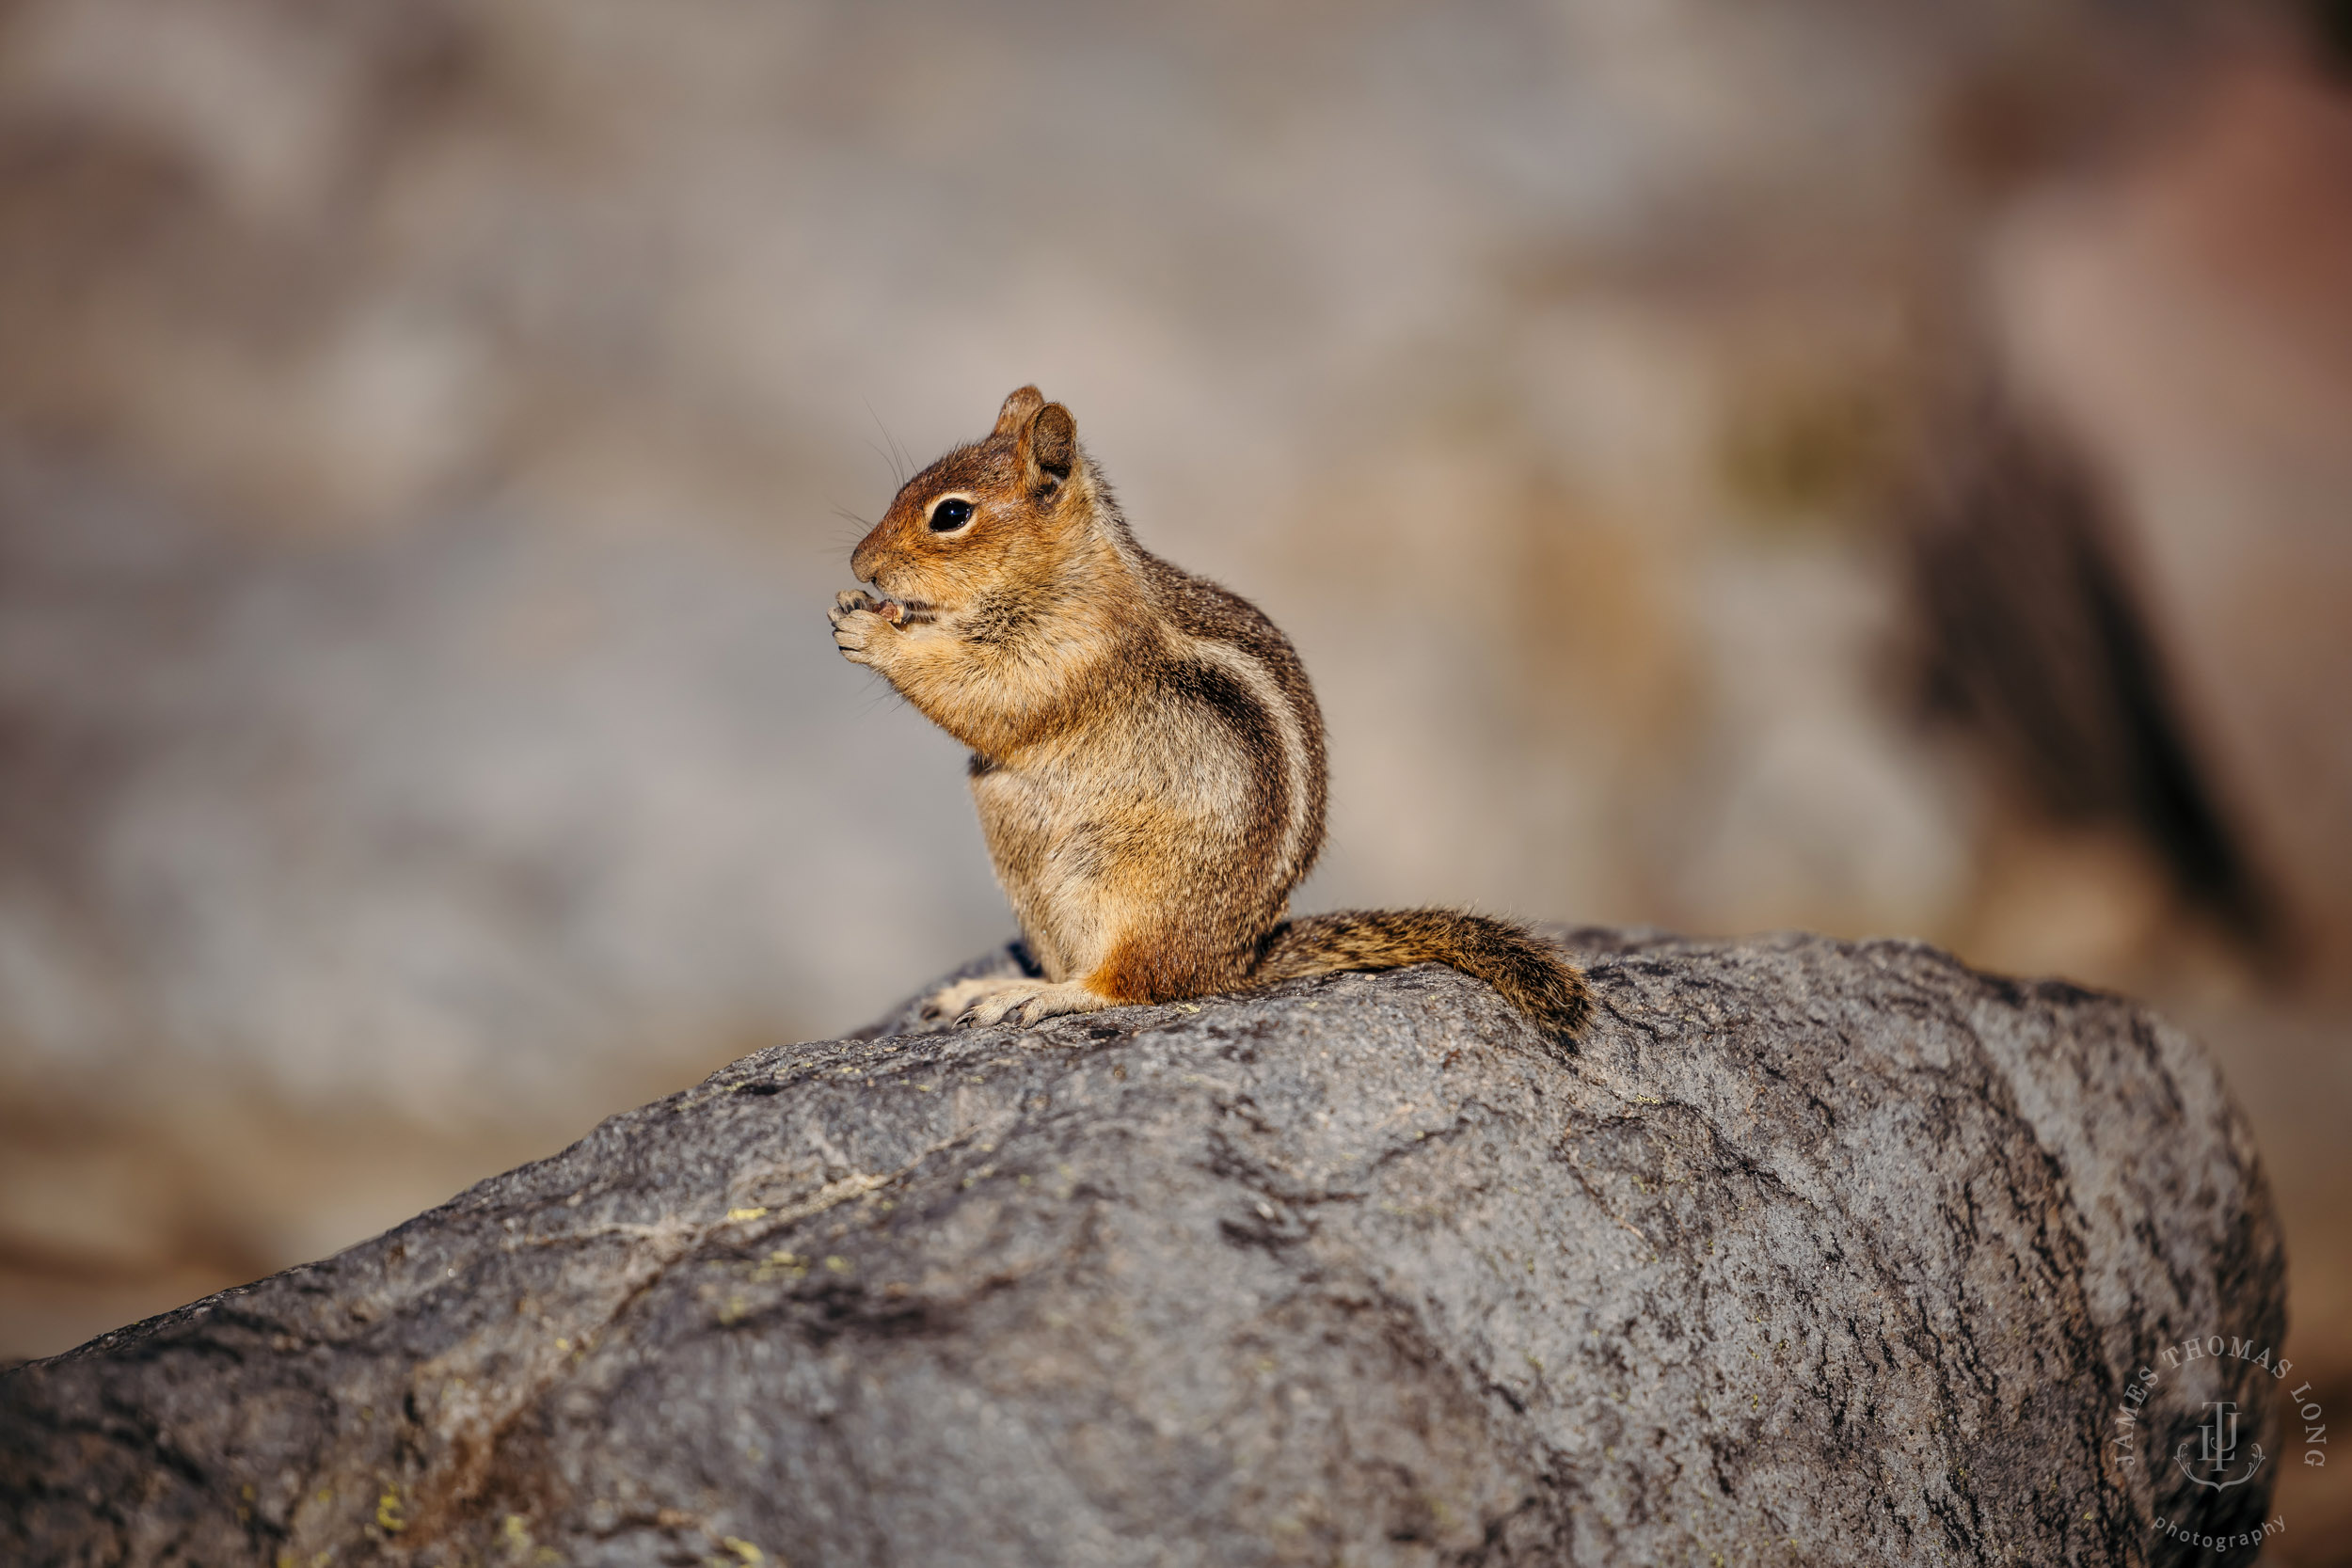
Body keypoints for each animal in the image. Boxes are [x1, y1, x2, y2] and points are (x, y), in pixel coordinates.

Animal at [837, 385, 1590, 1043]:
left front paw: (869, 632)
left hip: (1135, 894)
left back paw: (1047, 994)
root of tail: (1235, 962)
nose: (859, 563)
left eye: (950, 515)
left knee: (1135, 983)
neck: (1068, 574)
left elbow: (989, 695)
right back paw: (995, 985)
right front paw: (862, 610)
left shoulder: (1073, 654)